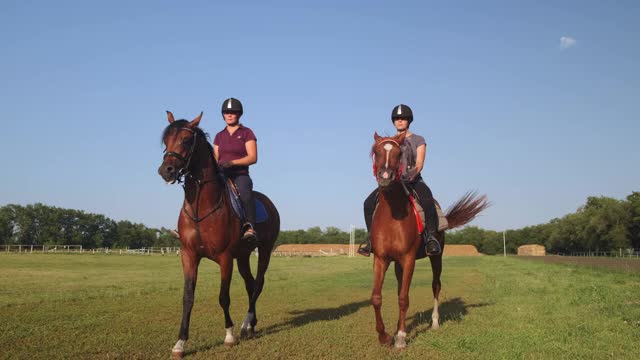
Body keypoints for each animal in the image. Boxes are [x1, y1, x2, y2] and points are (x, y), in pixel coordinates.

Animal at [156, 112, 278, 358]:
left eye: (186, 140)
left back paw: (245, 325)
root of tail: (269, 203)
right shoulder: (189, 255)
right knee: (250, 284)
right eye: (166, 141)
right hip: (242, 256)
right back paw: (251, 325)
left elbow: (223, 296)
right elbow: (188, 297)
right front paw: (180, 343)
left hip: (265, 250)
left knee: (258, 283)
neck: (201, 206)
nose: (166, 170)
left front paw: (229, 335)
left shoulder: (224, 258)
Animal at [368, 132, 488, 348]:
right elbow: (377, 297)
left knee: (435, 285)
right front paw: (384, 336)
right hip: (398, 263)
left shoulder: (408, 259)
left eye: (399, 153)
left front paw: (400, 337)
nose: (385, 177)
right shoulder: (381, 259)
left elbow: (404, 298)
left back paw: (434, 322)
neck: (392, 215)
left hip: (436, 256)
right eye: (377, 152)